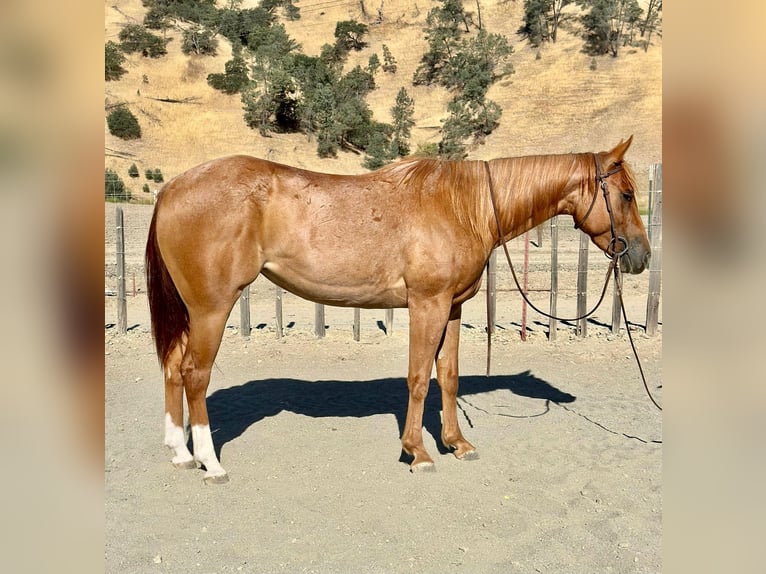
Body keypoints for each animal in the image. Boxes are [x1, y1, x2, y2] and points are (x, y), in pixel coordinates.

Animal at [146, 137, 656, 484]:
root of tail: (172, 188)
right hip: (211, 308)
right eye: (627, 195)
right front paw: (418, 452)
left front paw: (456, 443)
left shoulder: (452, 307)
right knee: (194, 374)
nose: (641, 256)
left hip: (193, 312)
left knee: (172, 367)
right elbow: (417, 379)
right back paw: (210, 462)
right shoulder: (427, 304)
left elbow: (447, 377)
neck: (464, 206)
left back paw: (180, 452)